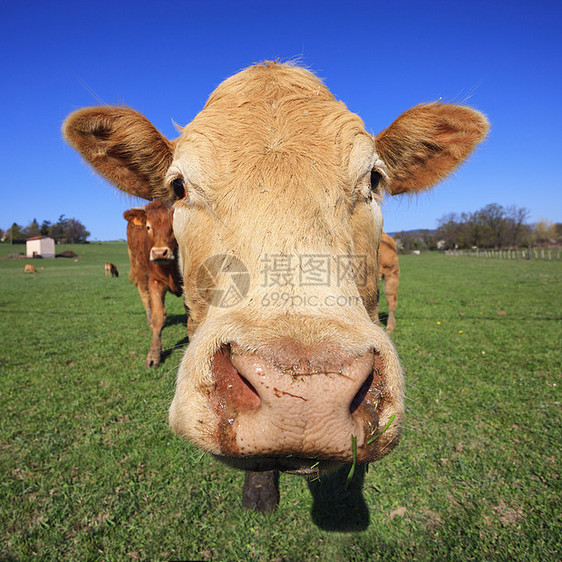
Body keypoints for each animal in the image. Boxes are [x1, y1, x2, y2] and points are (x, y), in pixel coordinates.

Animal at [123, 199, 183, 366]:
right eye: (148, 227)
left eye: (174, 224)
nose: (159, 253)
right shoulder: (155, 281)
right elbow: (158, 316)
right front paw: (153, 354)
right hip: (138, 267)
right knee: (144, 294)